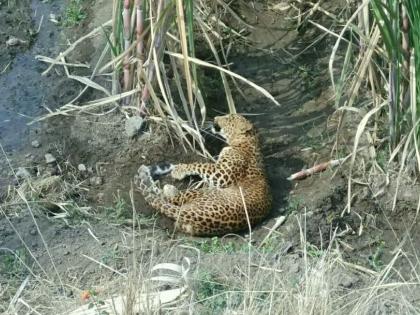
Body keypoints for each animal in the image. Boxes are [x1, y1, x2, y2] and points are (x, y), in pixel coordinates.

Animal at [135, 114, 272, 237]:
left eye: (229, 118)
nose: (216, 118)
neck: (248, 141)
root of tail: (191, 215)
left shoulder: (223, 174)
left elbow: (200, 165)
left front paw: (179, 170)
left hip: (200, 193)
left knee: (164, 196)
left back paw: (155, 181)